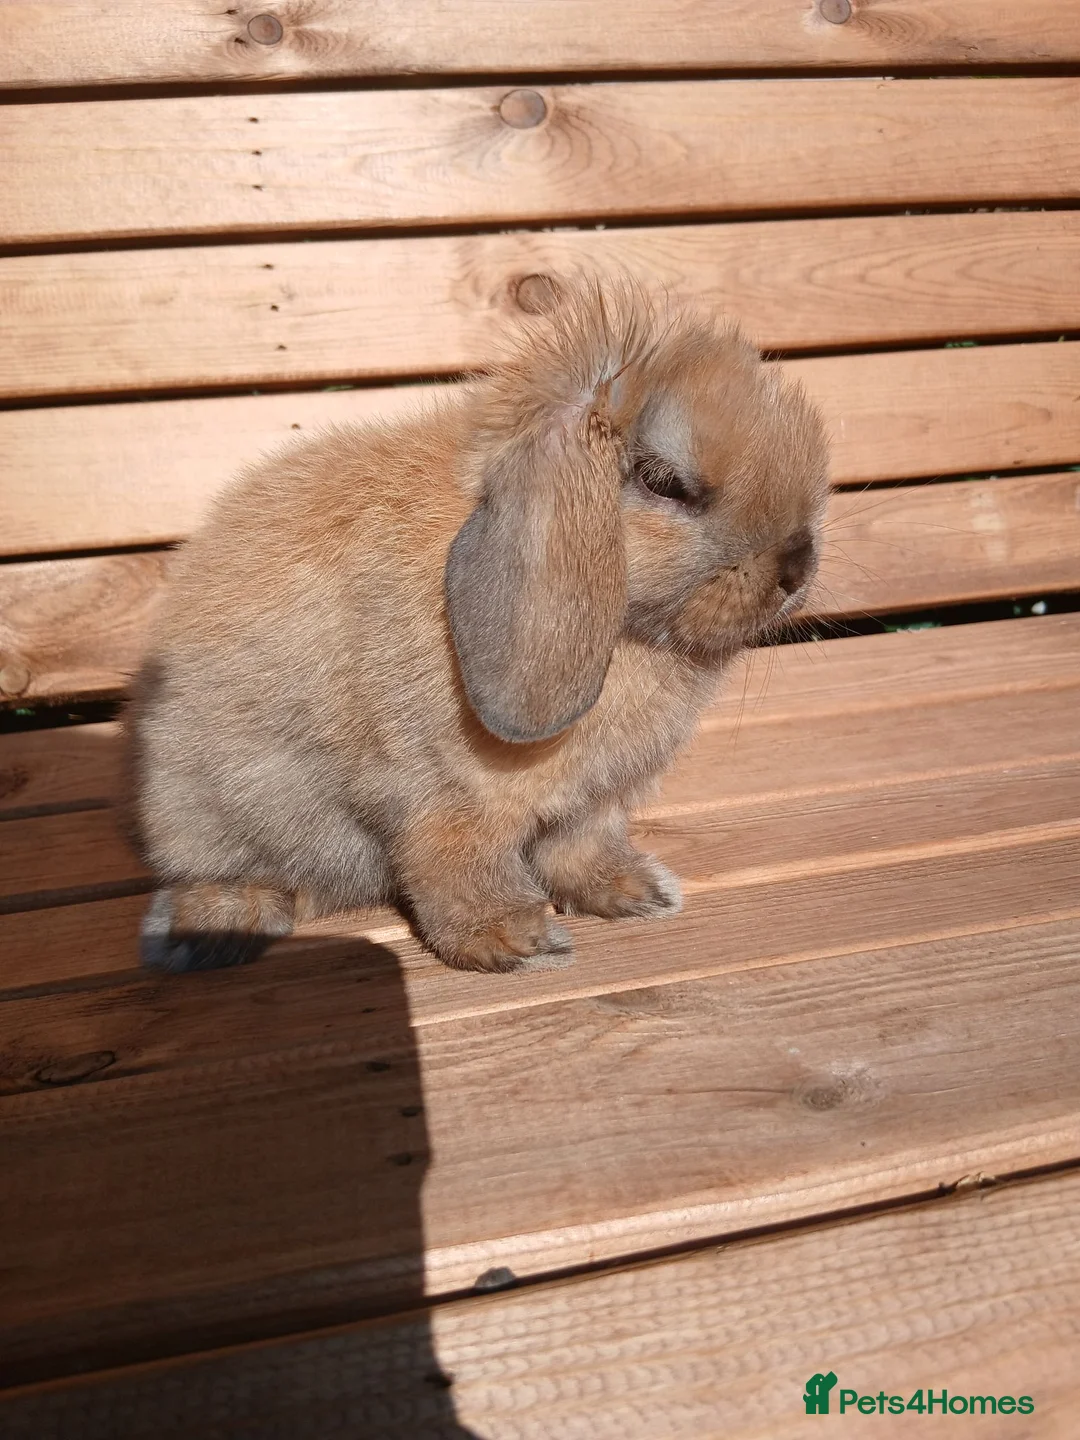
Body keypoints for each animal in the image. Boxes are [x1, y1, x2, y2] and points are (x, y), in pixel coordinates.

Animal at [125, 274, 829, 975]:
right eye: (665, 481)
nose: (797, 567)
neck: (624, 632)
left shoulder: (591, 804)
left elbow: (581, 850)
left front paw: (637, 893)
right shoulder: (451, 799)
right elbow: (459, 869)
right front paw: (519, 942)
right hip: (215, 805)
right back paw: (220, 921)